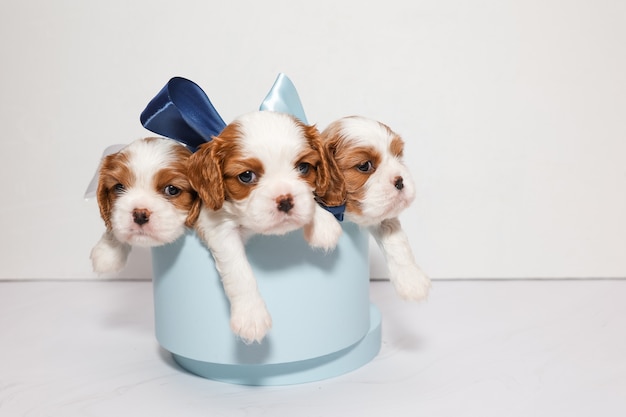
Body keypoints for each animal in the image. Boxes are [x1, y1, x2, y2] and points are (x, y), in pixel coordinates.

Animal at [188, 109, 344, 342]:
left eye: (304, 168)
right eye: (246, 176)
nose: (285, 200)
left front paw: (323, 223)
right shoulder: (216, 225)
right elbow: (239, 271)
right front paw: (251, 315)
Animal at [320, 115, 432, 300]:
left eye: (398, 155)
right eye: (365, 165)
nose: (400, 181)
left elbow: (395, 236)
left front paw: (411, 279)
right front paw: (325, 229)